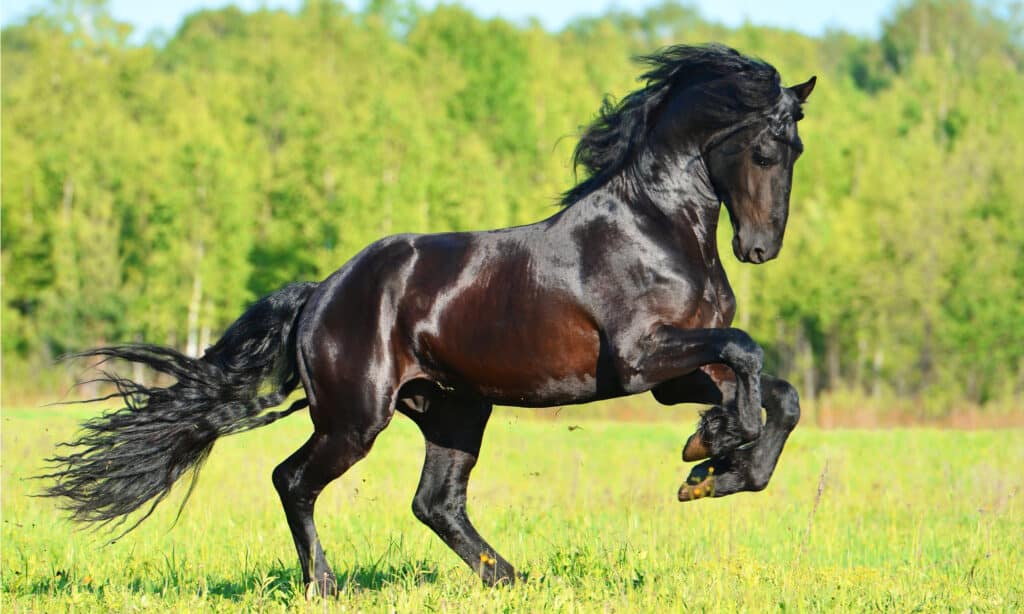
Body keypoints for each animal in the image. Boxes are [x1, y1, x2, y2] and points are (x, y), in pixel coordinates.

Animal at [44, 44, 815, 593]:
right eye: (763, 149)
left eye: (796, 151)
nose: (759, 248)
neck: (657, 226)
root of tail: (321, 293)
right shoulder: (639, 359)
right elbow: (748, 353)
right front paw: (713, 446)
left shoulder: (674, 372)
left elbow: (779, 395)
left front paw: (715, 466)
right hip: (355, 419)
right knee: (294, 480)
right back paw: (325, 586)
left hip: (453, 411)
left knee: (434, 502)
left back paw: (509, 578)